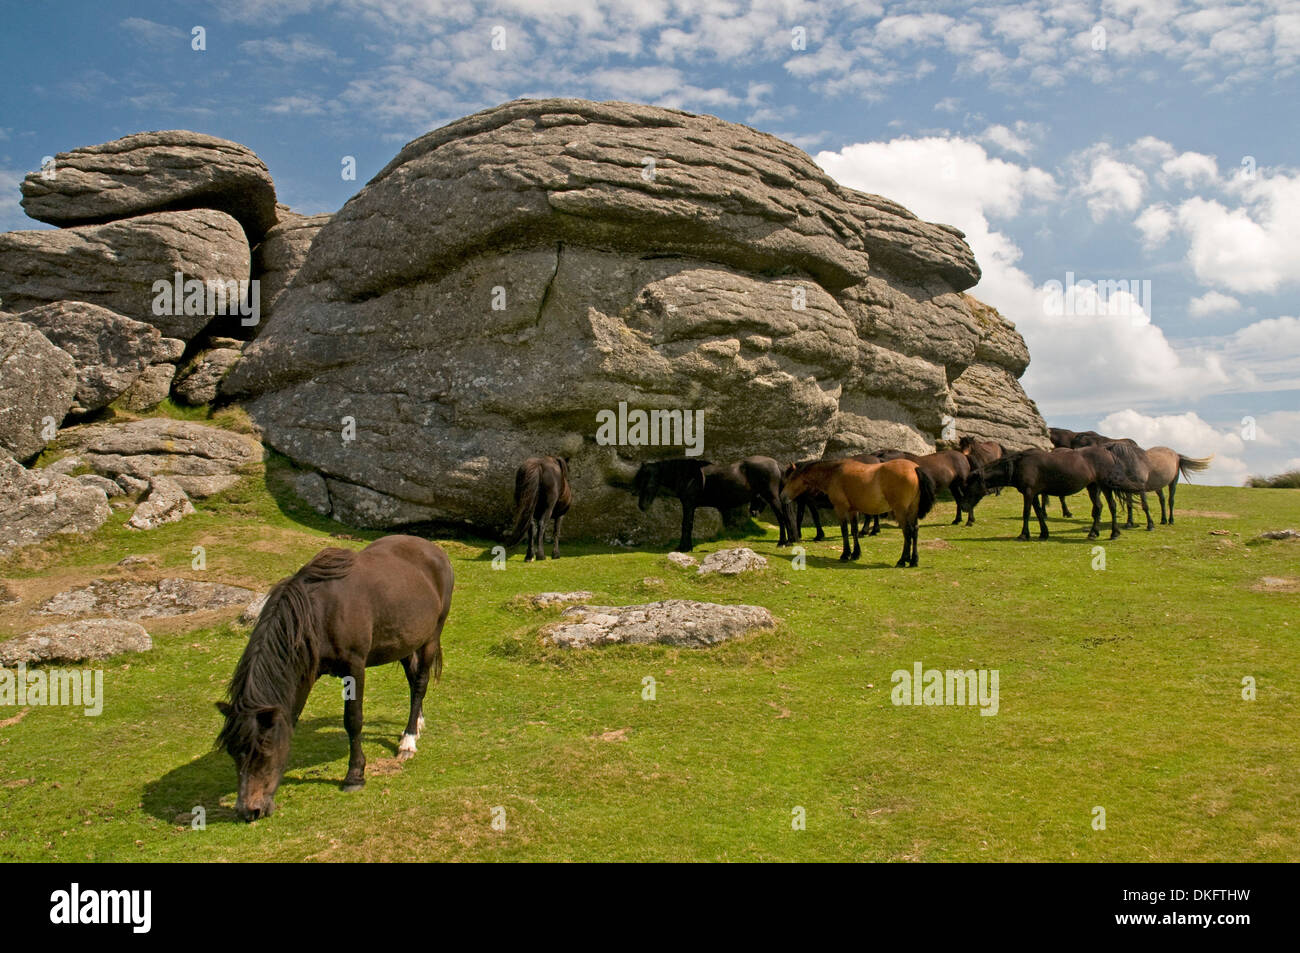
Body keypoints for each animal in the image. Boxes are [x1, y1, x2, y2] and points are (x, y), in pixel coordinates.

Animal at [215, 535, 453, 821]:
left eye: (264, 748)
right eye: (233, 751)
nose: (249, 810)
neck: (319, 612)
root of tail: (434, 550)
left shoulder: (355, 666)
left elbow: (353, 720)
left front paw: (355, 775)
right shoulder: (306, 673)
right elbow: (293, 716)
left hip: (431, 637)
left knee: (420, 683)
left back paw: (408, 741)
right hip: (405, 642)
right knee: (413, 678)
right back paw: (416, 723)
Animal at [633, 455, 794, 551]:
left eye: (649, 481)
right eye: (639, 480)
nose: (642, 506)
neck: (687, 474)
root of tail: (776, 464)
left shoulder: (688, 504)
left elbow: (686, 525)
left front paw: (684, 548)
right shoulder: (690, 505)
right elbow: (688, 525)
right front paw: (686, 546)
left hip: (772, 498)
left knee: (782, 518)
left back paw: (782, 542)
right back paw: (789, 541)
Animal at [783, 458, 937, 566]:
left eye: (791, 479)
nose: (782, 496)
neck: (835, 473)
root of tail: (914, 468)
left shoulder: (840, 509)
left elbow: (845, 531)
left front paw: (845, 554)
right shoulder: (853, 510)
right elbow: (854, 530)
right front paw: (856, 554)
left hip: (901, 511)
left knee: (907, 532)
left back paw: (902, 560)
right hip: (912, 510)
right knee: (914, 531)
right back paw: (913, 560)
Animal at [968, 446, 1146, 540]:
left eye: (970, 486)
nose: (965, 508)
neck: (1018, 465)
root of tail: (1108, 453)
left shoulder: (1029, 493)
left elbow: (1026, 513)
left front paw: (1024, 535)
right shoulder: (1034, 494)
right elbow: (1039, 513)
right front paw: (1043, 533)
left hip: (1105, 486)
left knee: (1112, 506)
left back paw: (1114, 533)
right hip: (1093, 487)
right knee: (1098, 508)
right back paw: (1093, 533)